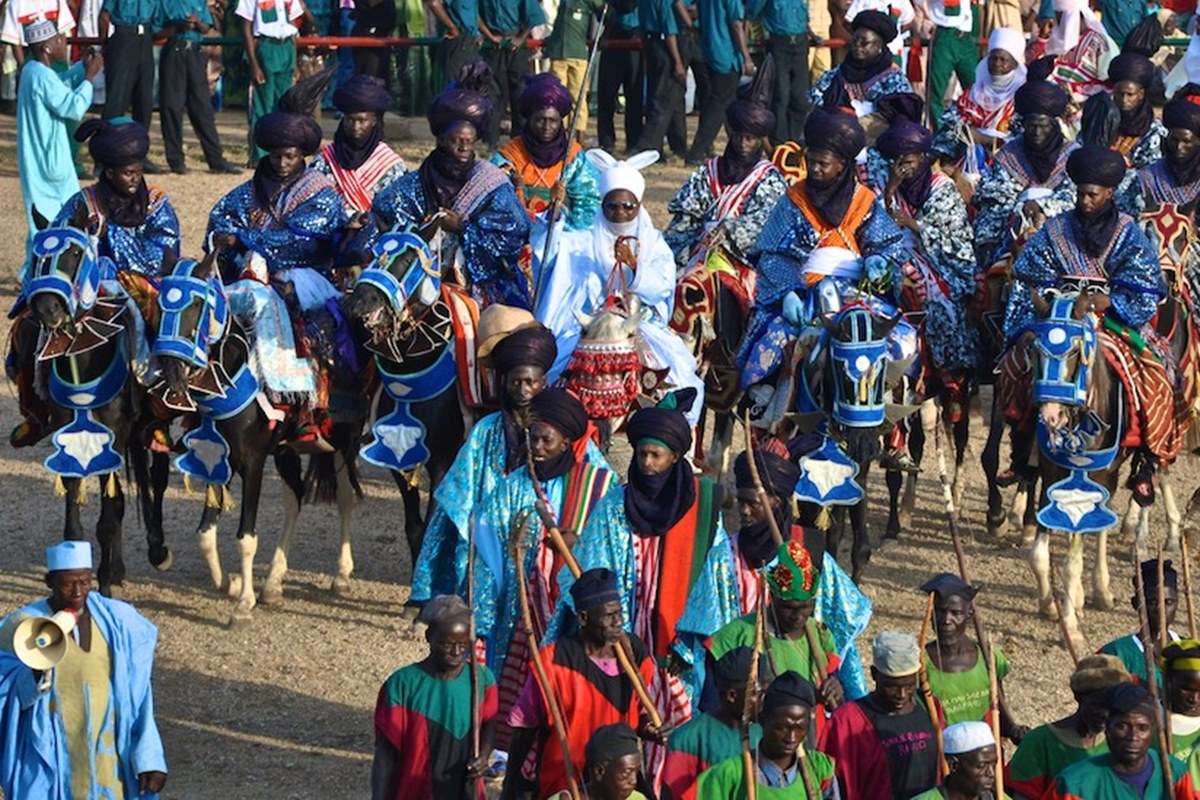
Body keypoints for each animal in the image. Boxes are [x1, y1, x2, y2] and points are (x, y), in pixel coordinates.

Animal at [18, 203, 169, 597]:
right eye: (37, 256)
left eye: (74, 254)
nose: (47, 310)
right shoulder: (69, 434)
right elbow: (77, 516)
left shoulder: (114, 435)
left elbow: (111, 513)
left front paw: (103, 583)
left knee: (156, 476)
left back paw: (157, 549)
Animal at [343, 227, 468, 566]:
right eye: (373, 252)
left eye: (409, 258)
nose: (358, 302)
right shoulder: (396, 453)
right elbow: (415, 528)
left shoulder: (443, 457)